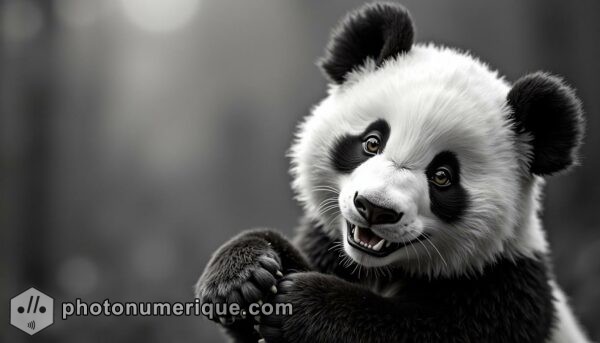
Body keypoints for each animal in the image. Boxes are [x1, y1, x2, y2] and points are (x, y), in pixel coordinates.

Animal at [195, 2, 588, 343]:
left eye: (442, 176)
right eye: (372, 142)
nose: (374, 208)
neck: (378, 268)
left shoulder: (502, 292)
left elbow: (421, 329)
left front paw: (303, 305)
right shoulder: (328, 245)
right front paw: (243, 278)